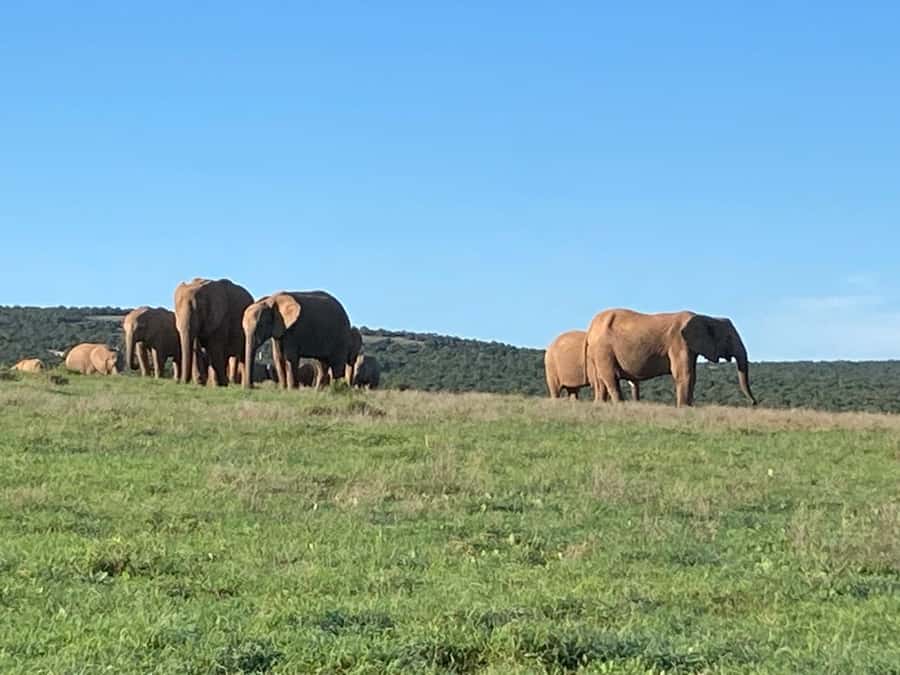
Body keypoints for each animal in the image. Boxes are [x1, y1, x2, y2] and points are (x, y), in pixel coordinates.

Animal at [584, 309, 756, 407]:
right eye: (728, 338)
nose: (754, 403)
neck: (707, 318)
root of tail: (591, 327)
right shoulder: (678, 342)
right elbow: (683, 374)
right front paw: (684, 408)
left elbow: (692, 375)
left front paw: (689, 407)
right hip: (603, 349)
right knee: (611, 378)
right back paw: (620, 405)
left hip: (598, 352)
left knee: (601, 381)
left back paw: (599, 405)